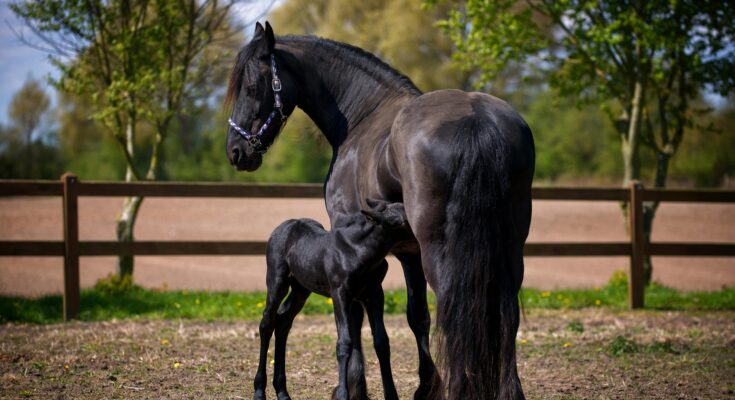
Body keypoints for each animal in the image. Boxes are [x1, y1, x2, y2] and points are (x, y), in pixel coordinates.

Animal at [254, 199, 408, 400]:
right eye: (403, 221)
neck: (358, 252)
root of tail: (283, 227)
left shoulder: (374, 294)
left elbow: (382, 341)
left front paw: (392, 395)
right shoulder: (340, 294)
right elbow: (344, 343)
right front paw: (342, 394)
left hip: (301, 289)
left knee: (283, 322)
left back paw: (282, 391)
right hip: (277, 281)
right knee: (267, 323)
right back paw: (259, 391)